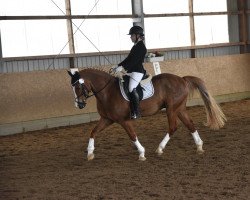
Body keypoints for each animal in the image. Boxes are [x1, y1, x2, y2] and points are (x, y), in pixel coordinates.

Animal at [67, 67, 227, 161]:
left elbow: (132, 136)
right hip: (179, 108)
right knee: (190, 125)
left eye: (77, 86)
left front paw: (142, 153)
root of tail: (182, 79)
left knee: (173, 127)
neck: (107, 92)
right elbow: (93, 132)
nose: (79, 105)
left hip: (171, 109)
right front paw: (90, 152)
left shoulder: (124, 120)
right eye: (73, 87)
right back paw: (199, 147)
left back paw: (160, 149)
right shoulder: (107, 119)